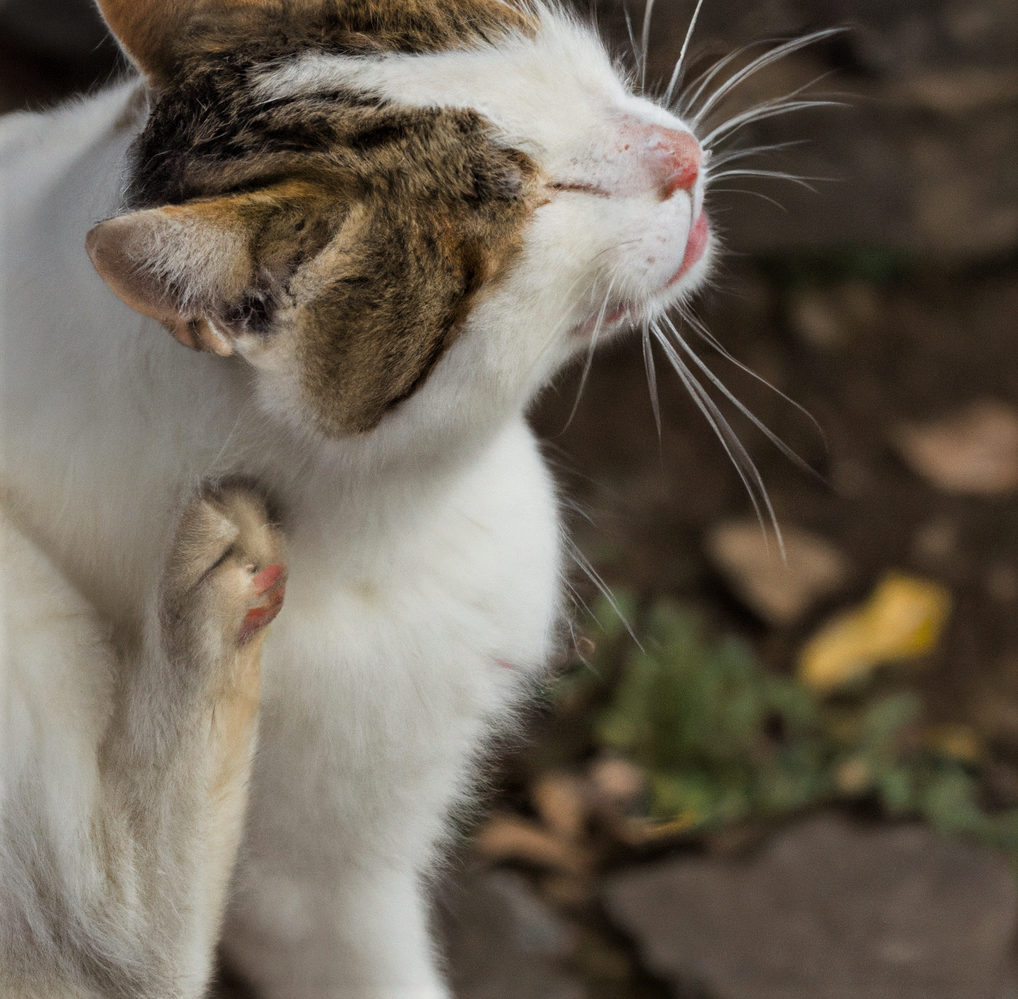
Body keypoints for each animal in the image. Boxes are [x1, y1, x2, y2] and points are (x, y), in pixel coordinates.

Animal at [0, 0, 720, 993]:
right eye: (539, 204)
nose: (679, 157)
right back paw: (207, 618)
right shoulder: (322, 878)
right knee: (131, 940)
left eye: (569, 66)